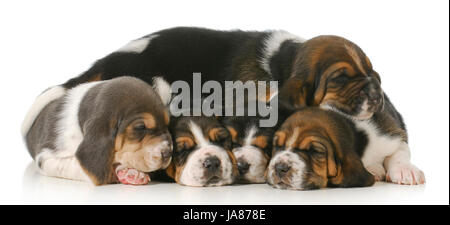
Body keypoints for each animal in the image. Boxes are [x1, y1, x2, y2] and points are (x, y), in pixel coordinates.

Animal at [21, 76, 173, 185]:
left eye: (167, 125)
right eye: (141, 127)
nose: (168, 153)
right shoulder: (46, 158)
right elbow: (73, 165)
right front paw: (128, 172)